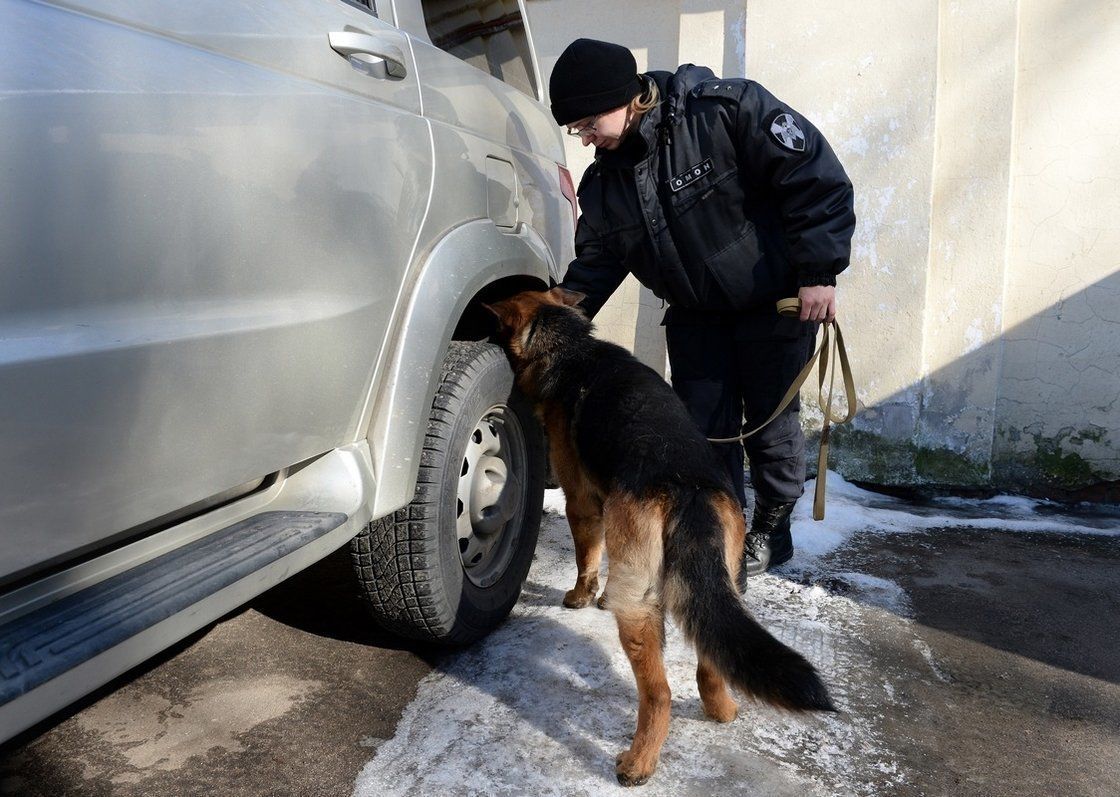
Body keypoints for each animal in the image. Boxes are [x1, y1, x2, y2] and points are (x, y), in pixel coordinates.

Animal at [486, 288, 837, 783]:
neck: (573, 348)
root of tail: (687, 487)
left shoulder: (582, 501)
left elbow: (586, 556)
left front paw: (581, 596)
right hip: (720, 582)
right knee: (711, 662)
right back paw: (721, 711)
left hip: (640, 608)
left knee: (660, 693)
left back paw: (638, 762)